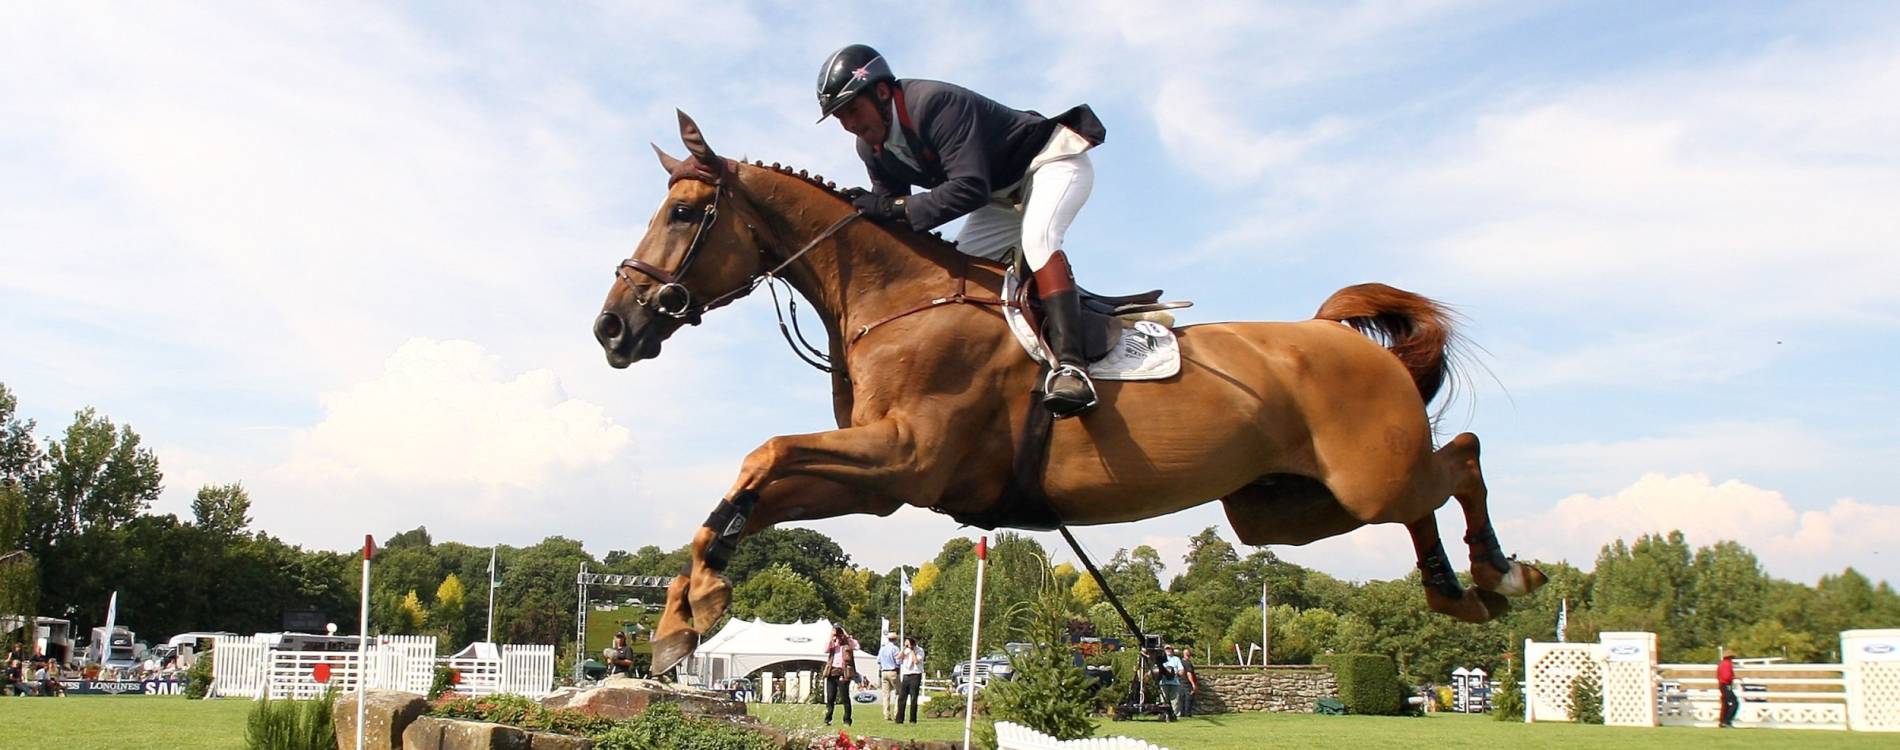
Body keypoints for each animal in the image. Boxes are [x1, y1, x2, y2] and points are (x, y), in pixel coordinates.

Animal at [594, 113, 1548, 672]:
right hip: (1284, 508)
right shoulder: (883, 481)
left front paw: (693, 606)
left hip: (1364, 478)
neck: (897, 300)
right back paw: (1456, 590)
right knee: (1428, 491)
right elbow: (752, 492)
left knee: (1459, 460)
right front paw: (684, 614)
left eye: (685, 214)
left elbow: (764, 456)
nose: (612, 328)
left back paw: (1501, 571)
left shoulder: (904, 459)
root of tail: (1349, 343)